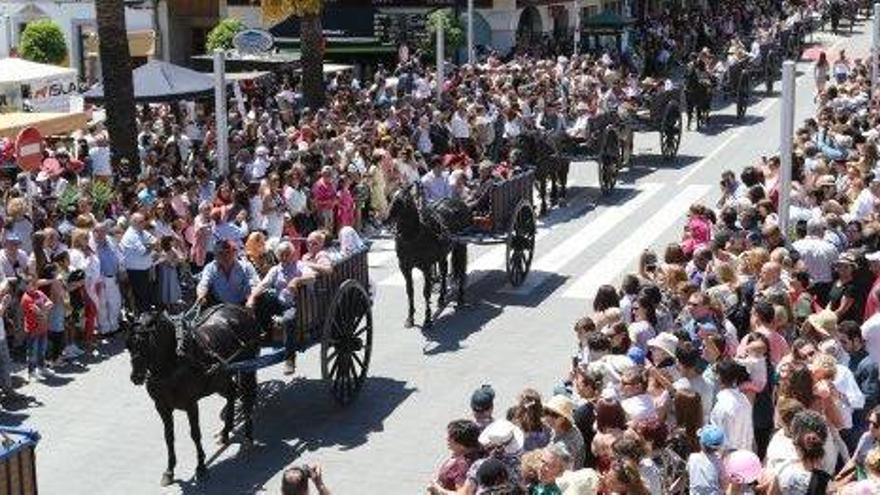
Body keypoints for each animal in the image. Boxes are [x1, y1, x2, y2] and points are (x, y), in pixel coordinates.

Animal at [125, 306, 260, 488]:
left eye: (146, 342)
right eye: (128, 345)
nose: (136, 377)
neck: (171, 366)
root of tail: (241, 310)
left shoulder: (191, 404)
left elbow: (195, 434)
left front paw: (201, 467)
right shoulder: (161, 406)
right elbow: (168, 437)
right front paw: (169, 471)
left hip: (247, 368)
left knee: (246, 399)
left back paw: (248, 438)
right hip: (220, 377)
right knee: (232, 393)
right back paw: (225, 432)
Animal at [384, 186, 468, 330]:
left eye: (403, 201)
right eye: (389, 197)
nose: (386, 219)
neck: (412, 237)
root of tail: (458, 201)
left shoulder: (426, 267)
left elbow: (426, 292)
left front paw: (427, 319)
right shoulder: (405, 268)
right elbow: (410, 291)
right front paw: (410, 318)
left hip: (461, 247)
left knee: (461, 271)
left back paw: (461, 298)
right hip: (442, 254)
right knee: (444, 272)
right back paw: (441, 298)